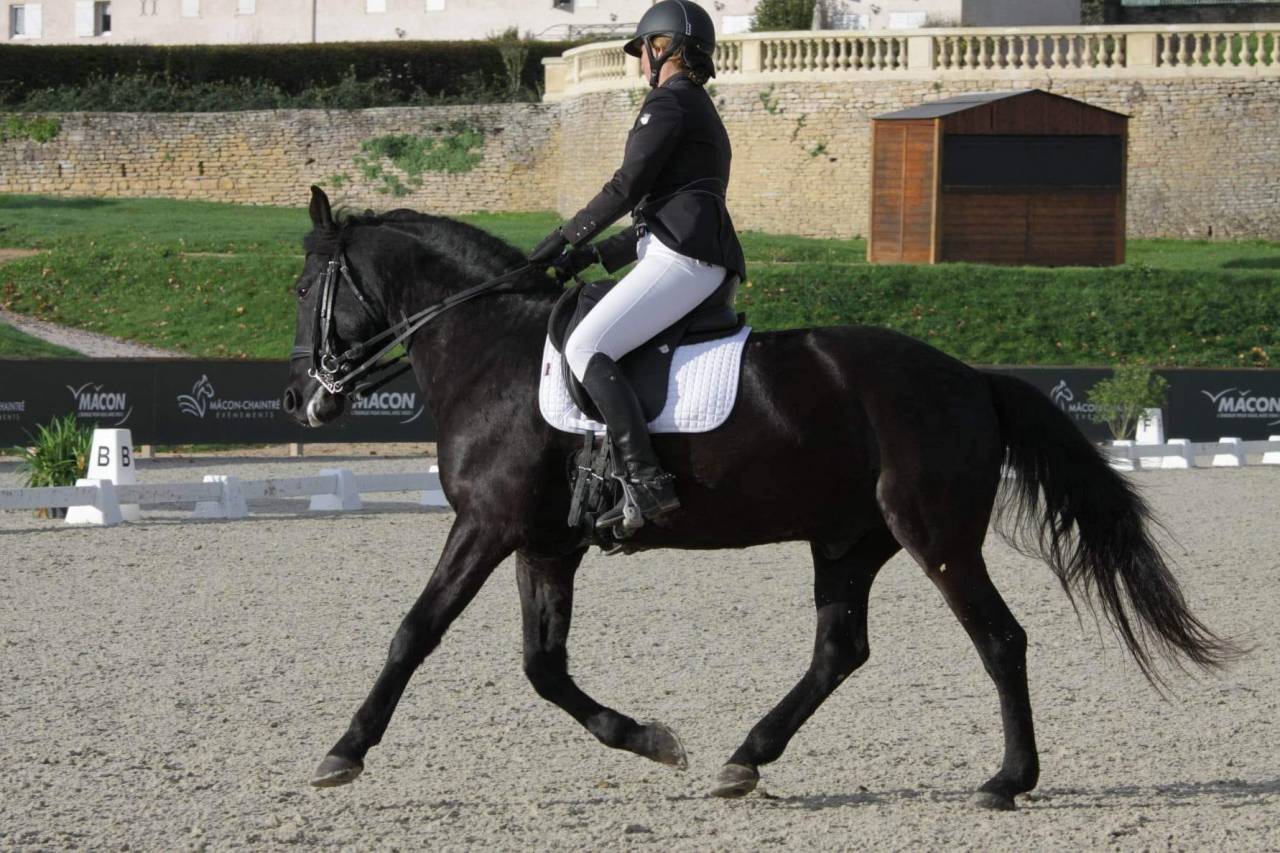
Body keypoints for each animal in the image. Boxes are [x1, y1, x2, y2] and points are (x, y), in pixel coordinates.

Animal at [282, 187, 1233, 810]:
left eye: (302, 291)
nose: (300, 398)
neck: (492, 350)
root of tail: (970, 378)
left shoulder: (487, 525)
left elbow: (414, 633)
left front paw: (341, 752)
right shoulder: (545, 541)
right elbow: (544, 667)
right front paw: (653, 741)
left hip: (935, 535)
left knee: (999, 638)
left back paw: (1007, 780)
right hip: (848, 539)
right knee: (840, 649)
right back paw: (746, 757)